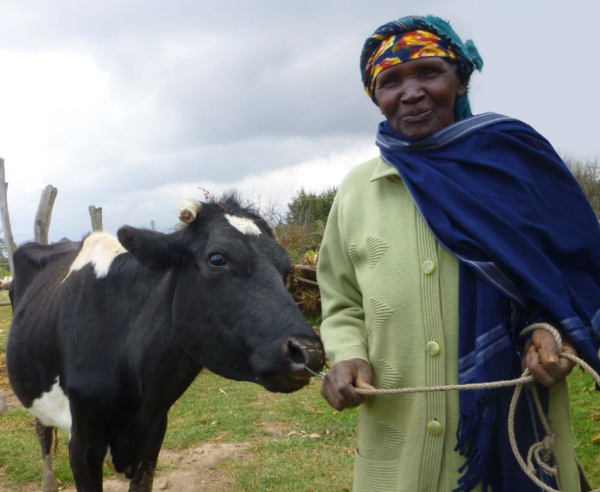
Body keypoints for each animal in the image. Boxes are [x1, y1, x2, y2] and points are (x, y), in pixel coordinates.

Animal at [5, 195, 324, 492]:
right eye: (217, 258)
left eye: (286, 269)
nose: (309, 352)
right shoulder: (83, 443)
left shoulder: (154, 431)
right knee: (42, 431)